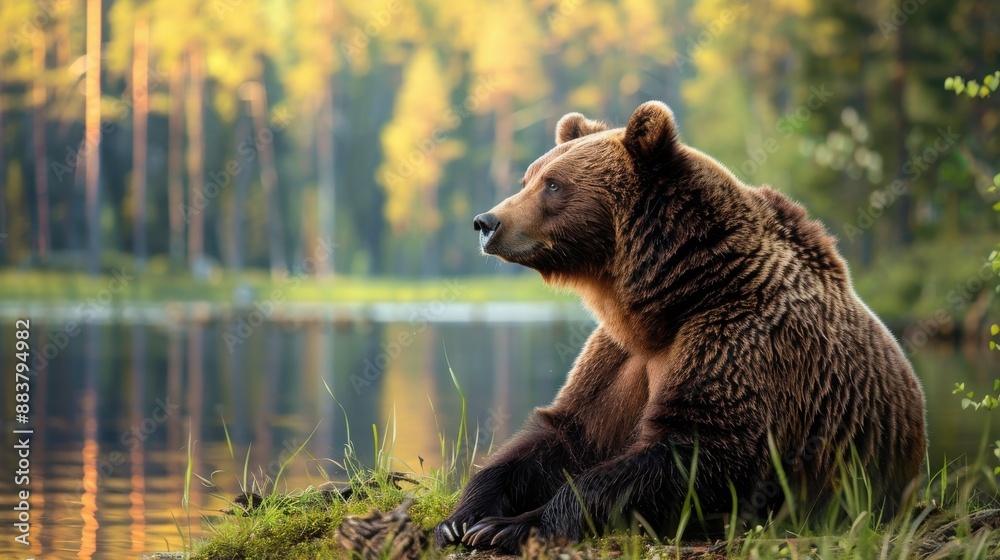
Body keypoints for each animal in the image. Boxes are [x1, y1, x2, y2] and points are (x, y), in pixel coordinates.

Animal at [435, 101, 927, 553]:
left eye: (553, 184)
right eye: (529, 178)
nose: (486, 222)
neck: (672, 297)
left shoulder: (738, 340)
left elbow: (695, 454)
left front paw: (513, 526)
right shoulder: (619, 355)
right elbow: (565, 435)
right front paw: (465, 516)